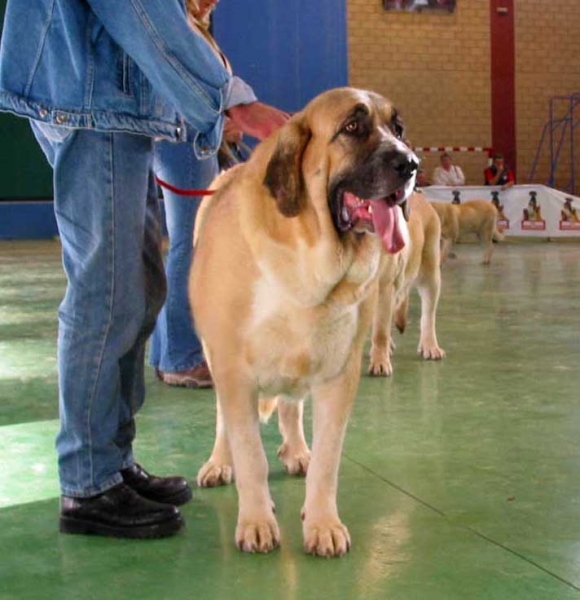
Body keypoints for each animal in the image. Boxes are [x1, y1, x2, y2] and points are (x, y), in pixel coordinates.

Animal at [190, 88, 416, 556]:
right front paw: (257, 522)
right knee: (224, 421)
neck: (308, 259)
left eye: (398, 129)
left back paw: (296, 451)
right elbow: (249, 453)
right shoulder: (233, 370)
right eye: (353, 127)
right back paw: (220, 463)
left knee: (291, 407)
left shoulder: (338, 376)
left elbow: (328, 460)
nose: (410, 163)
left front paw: (323, 524)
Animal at [370, 192, 446, 378]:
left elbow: (380, 331)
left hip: (430, 276)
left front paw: (380, 363)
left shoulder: (383, 287)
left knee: (428, 316)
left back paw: (430, 347)